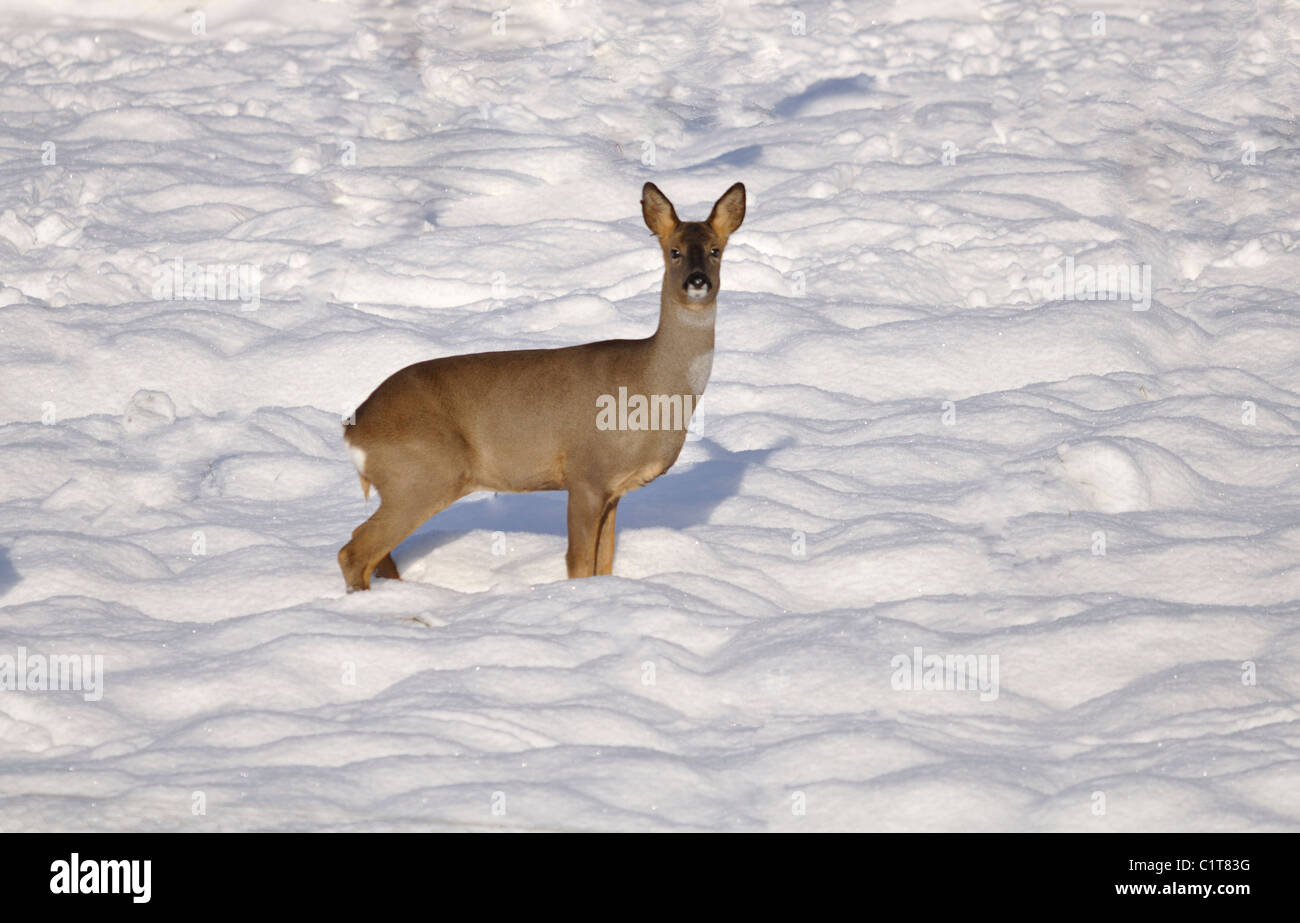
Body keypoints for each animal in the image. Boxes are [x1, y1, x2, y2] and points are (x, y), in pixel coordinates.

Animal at [338, 182, 743, 592]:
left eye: (716, 250)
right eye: (674, 251)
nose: (697, 281)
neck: (649, 386)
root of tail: (354, 428)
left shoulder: (614, 489)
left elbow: (605, 563)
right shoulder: (585, 473)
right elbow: (578, 564)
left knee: (372, 550)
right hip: (421, 474)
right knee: (354, 550)